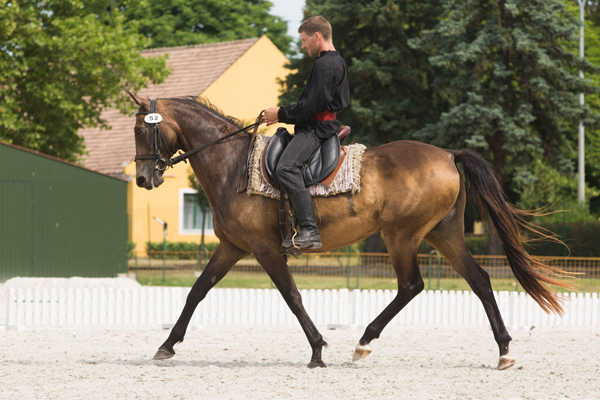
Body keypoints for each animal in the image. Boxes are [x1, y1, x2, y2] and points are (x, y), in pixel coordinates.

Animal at [129, 93, 568, 368]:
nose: (143, 179)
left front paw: (318, 350)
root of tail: (447, 154)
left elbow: (292, 296)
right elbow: (197, 291)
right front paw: (166, 346)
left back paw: (364, 343)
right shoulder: (233, 247)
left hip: (401, 236)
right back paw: (504, 351)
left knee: (412, 285)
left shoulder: (265, 248)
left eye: (141, 130)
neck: (233, 165)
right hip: (443, 234)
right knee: (479, 280)